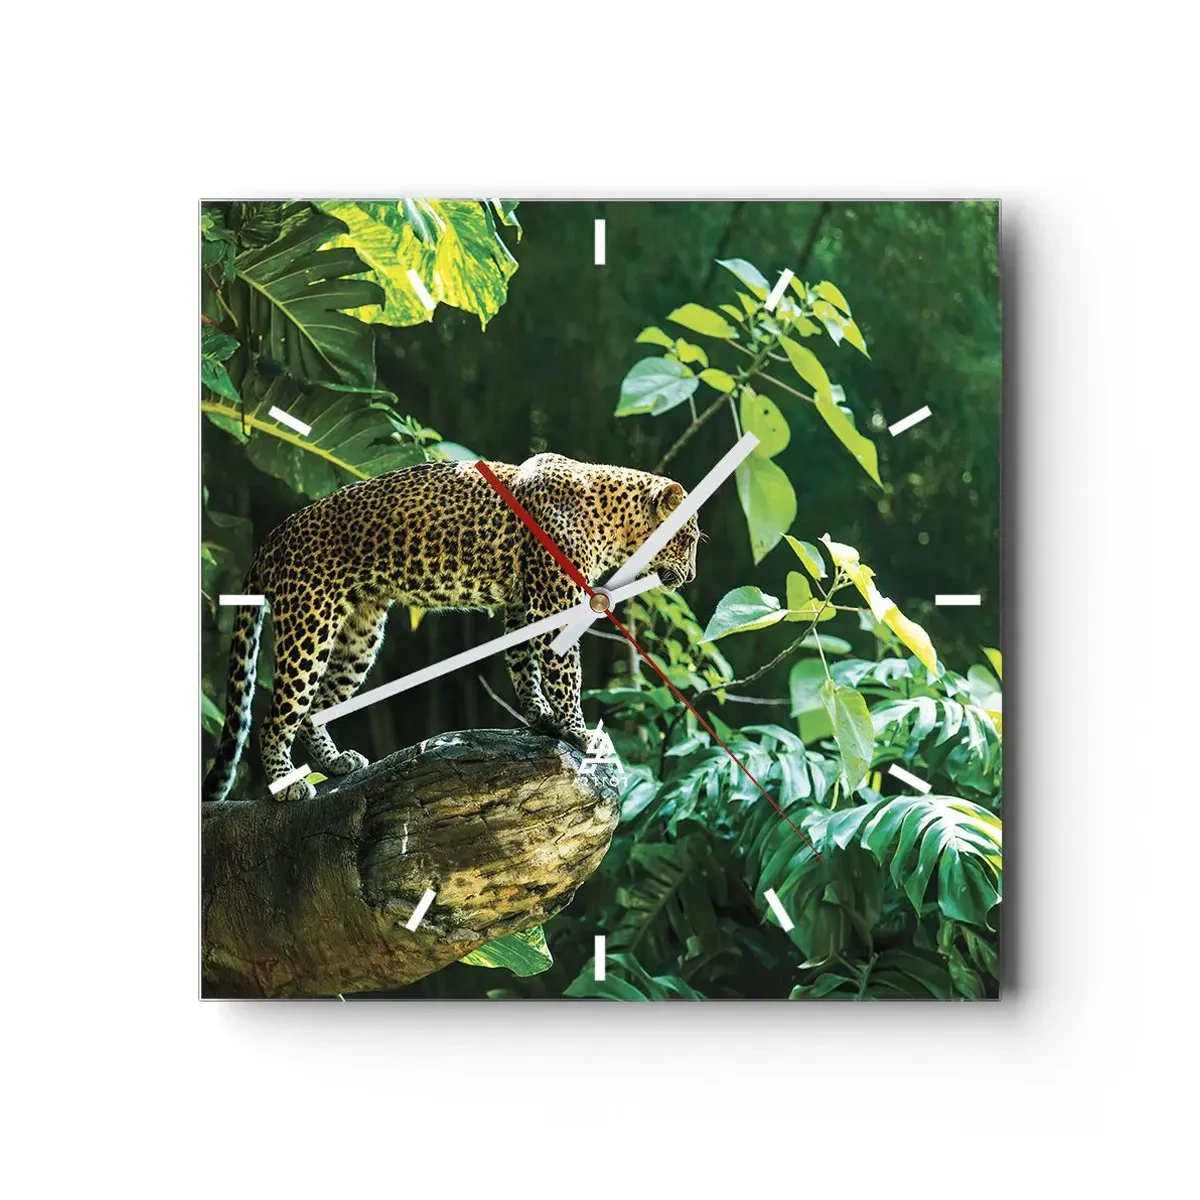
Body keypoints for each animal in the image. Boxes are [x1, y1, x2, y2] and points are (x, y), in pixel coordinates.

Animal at [202, 453, 699, 804]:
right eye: (689, 538)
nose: (693, 575)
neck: (612, 519)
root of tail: (273, 536)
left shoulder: (522, 603)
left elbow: (523, 664)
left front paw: (540, 718)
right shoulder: (554, 600)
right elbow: (564, 673)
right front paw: (579, 732)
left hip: (359, 635)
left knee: (313, 709)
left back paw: (338, 762)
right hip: (309, 623)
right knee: (275, 716)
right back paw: (286, 785)